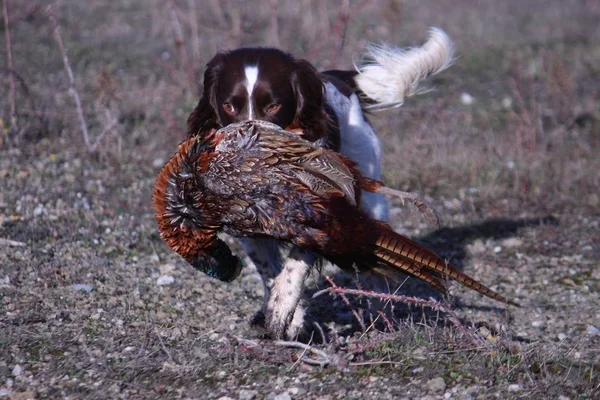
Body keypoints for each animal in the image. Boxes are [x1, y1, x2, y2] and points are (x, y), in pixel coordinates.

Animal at [185, 27, 452, 338]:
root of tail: (339, 79)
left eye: (273, 105)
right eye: (229, 105)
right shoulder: (247, 228)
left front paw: (285, 308)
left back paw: (379, 315)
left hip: (370, 196)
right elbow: (269, 270)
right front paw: (286, 312)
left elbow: (296, 262)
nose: (245, 149)